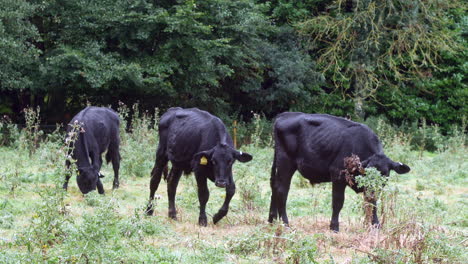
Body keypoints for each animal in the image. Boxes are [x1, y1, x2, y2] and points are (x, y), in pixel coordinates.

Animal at [266, 112, 410, 232]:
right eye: (366, 172)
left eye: (384, 174)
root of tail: (285, 114)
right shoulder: (337, 176)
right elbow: (338, 202)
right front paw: (334, 227)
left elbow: (372, 203)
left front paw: (376, 225)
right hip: (286, 163)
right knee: (282, 190)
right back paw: (285, 224)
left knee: (274, 187)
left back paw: (272, 220)